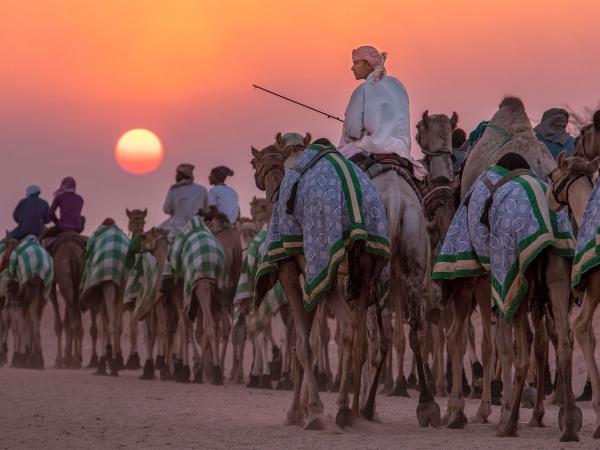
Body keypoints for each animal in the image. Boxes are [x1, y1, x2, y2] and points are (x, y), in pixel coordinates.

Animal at [432, 96, 580, 442]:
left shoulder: (479, 269)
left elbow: (477, 339)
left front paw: (463, 411)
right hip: (551, 274)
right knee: (556, 339)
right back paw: (561, 420)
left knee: (512, 342)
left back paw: (506, 417)